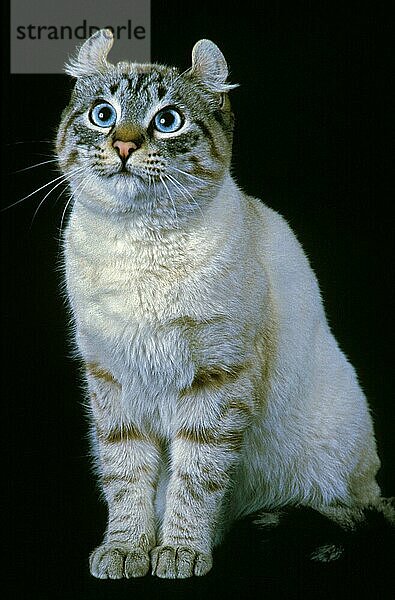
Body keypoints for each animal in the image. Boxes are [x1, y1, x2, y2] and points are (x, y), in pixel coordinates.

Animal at [55, 29, 392, 580]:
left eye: (167, 121)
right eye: (103, 114)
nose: (123, 144)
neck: (138, 246)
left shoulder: (216, 379)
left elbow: (196, 481)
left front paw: (180, 551)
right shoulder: (113, 382)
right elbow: (126, 479)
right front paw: (128, 549)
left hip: (332, 471)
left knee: (351, 514)